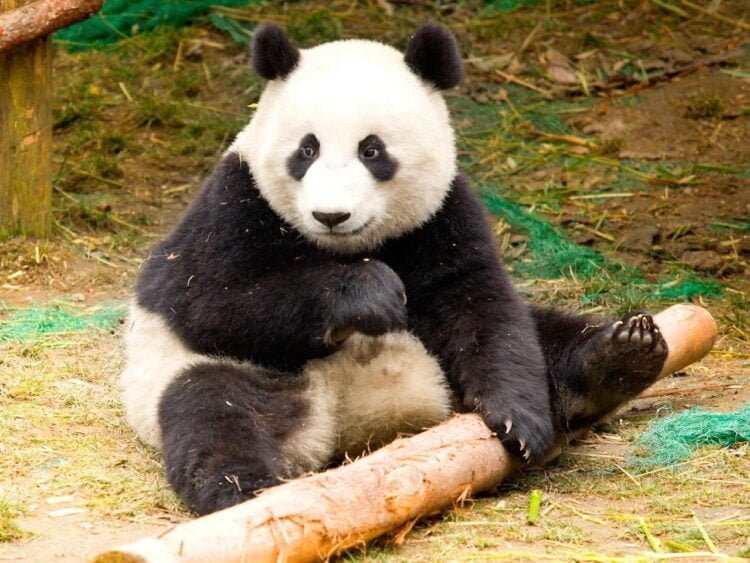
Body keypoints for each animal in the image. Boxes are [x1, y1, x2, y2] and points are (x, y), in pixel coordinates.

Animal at [120, 22, 668, 516]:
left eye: (372, 150)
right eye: (306, 149)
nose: (331, 215)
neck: (345, 246)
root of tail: (349, 423)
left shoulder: (442, 213)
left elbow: (479, 304)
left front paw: (519, 419)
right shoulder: (232, 204)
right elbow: (211, 300)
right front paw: (369, 292)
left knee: (544, 332)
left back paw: (622, 355)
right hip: (214, 374)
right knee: (213, 413)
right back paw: (245, 492)